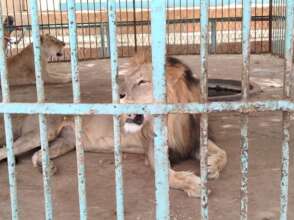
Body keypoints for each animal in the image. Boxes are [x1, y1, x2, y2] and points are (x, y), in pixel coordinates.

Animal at [0, 52, 227, 198]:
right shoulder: (153, 149)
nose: (118, 95)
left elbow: (223, 153)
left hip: (65, 142)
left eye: (142, 82)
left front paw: (211, 166)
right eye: (126, 79)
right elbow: (168, 176)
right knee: (8, 150)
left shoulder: (194, 139)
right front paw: (195, 184)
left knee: (36, 155)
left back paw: (47, 167)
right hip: (41, 133)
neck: (174, 119)